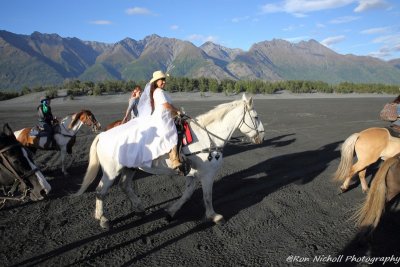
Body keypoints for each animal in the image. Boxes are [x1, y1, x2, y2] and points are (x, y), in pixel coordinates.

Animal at [74, 94, 266, 230]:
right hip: (111, 171)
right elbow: (207, 196)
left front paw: (170, 212)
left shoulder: (193, 174)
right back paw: (103, 219)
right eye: (256, 117)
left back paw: (139, 208)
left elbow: (187, 195)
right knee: (100, 191)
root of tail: (103, 135)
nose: (262, 137)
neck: (208, 137)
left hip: (129, 168)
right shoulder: (207, 174)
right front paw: (214, 216)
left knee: (125, 185)